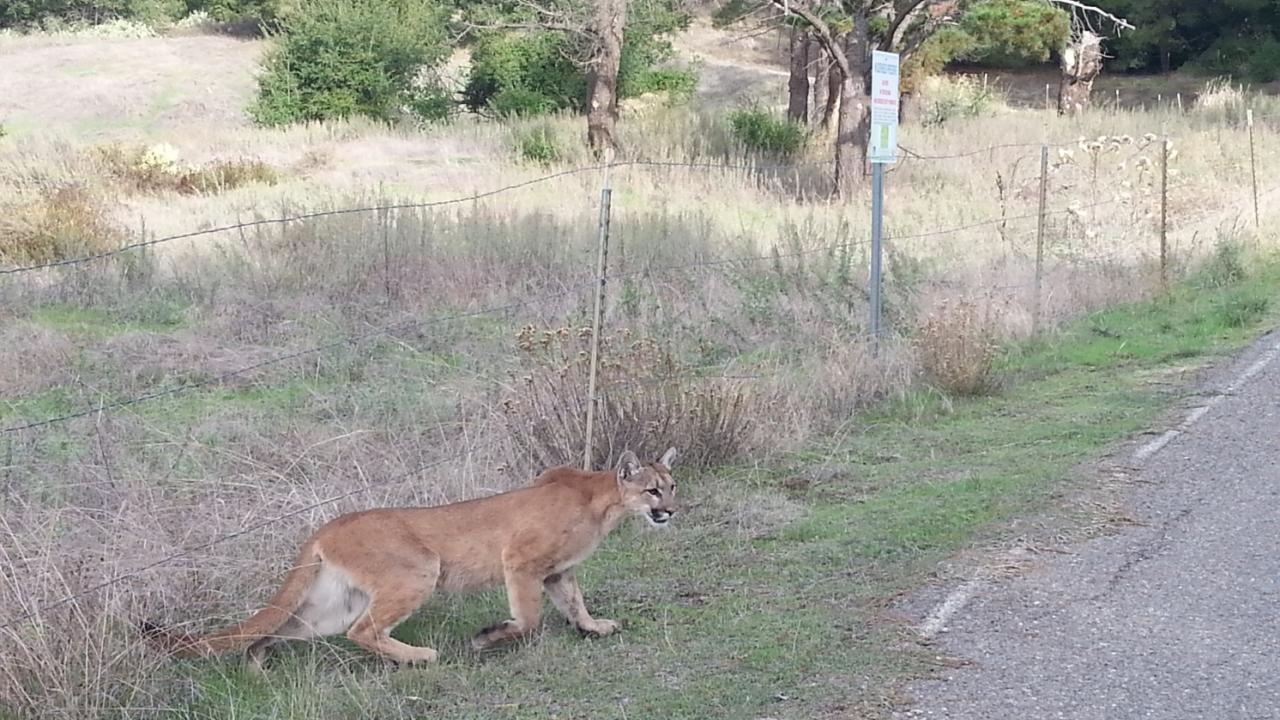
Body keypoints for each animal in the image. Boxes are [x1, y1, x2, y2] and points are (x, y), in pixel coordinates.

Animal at [139, 448, 678, 666]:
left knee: (274, 629)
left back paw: (255, 666)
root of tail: (328, 524)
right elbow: (527, 620)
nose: (672, 510)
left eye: (672, 485)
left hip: (331, 605)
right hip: (417, 571)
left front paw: (595, 627)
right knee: (364, 632)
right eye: (652, 490)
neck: (601, 501)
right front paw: (486, 638)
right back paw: (421, 657)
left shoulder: (557, 572)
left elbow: (574, 603)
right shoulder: (521, 562)